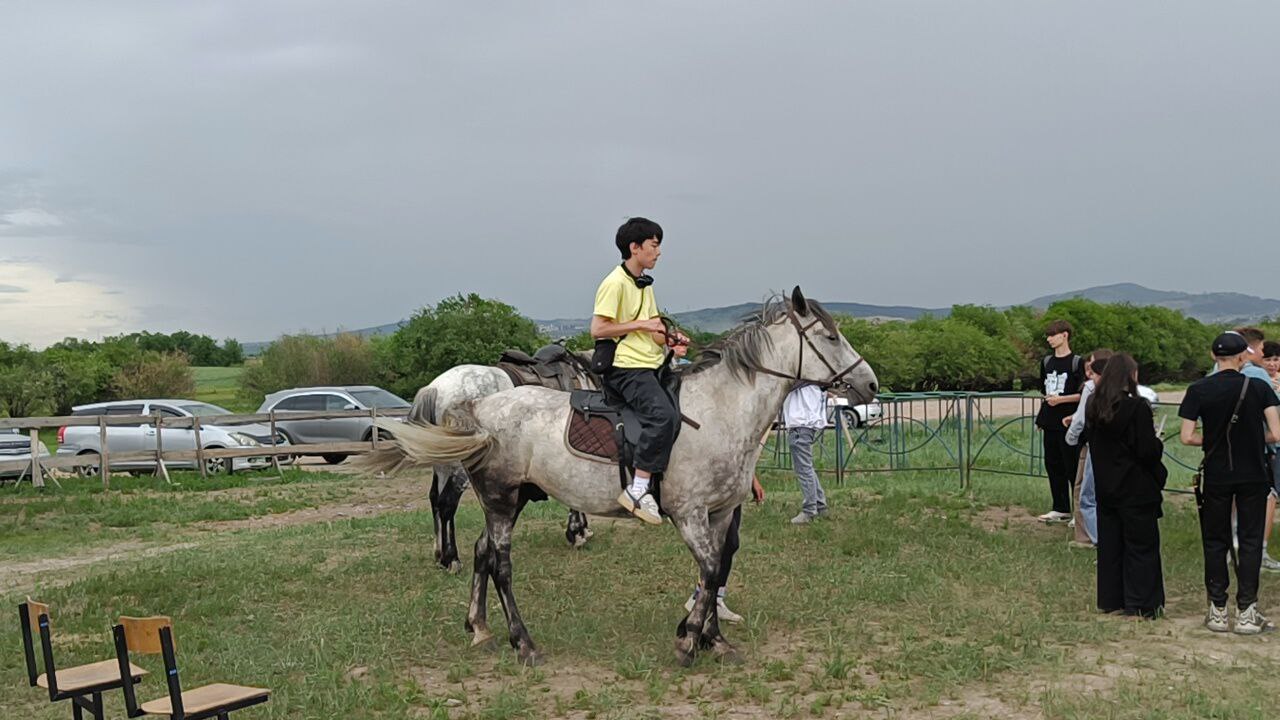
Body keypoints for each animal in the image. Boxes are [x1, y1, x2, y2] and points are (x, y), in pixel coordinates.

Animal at [360, 286, 880, 666]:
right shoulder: (689, 513)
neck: (719, 410)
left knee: (481, 552)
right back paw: (523, 643)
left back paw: (479, 627)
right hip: (501, 499)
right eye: (829, 337)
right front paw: (688, 642)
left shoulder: (718, 513)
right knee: (499, 562)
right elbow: (711, 568)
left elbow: (715, 569)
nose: (871, 384)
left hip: (511, 498)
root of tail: (478, 406)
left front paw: (711, 639)